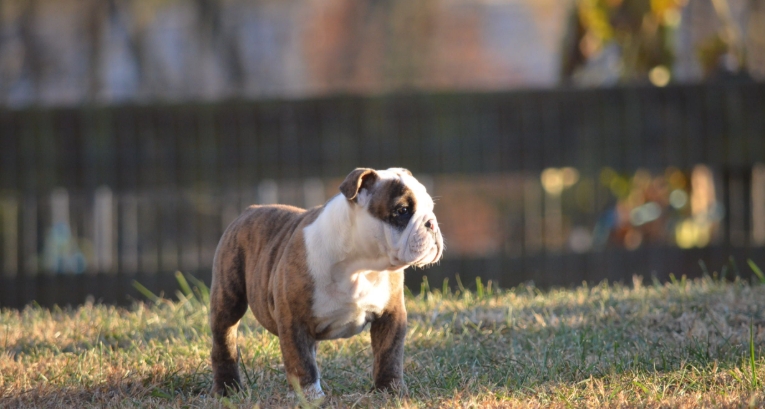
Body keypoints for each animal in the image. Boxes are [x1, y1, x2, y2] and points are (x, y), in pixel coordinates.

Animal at [212, 167, 444, 396]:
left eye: (431, 208)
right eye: (402, 210)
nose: (432, 222)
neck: (360, 266)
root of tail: (248, 210)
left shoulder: (391, 315)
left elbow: (389, 354)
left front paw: (390, 389)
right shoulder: (293, 319)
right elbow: (301, 361)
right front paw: (309, 395)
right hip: (228, 301)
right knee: (224, 342)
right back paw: (227, 388)